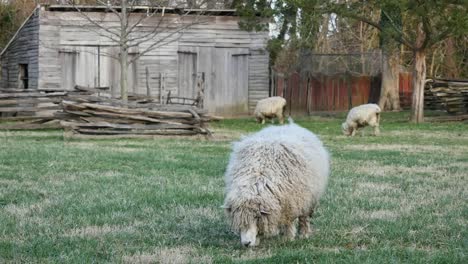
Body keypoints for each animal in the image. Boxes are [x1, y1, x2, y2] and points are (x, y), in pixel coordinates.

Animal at [222, 120, 330, 248]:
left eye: (256, 217)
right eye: (238, 219)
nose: (246, 243)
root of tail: (290, 125)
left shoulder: (290, 203)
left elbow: (289, 221)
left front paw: (288, 238)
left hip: (308, 198)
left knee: (304, 217)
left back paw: (304, 234)